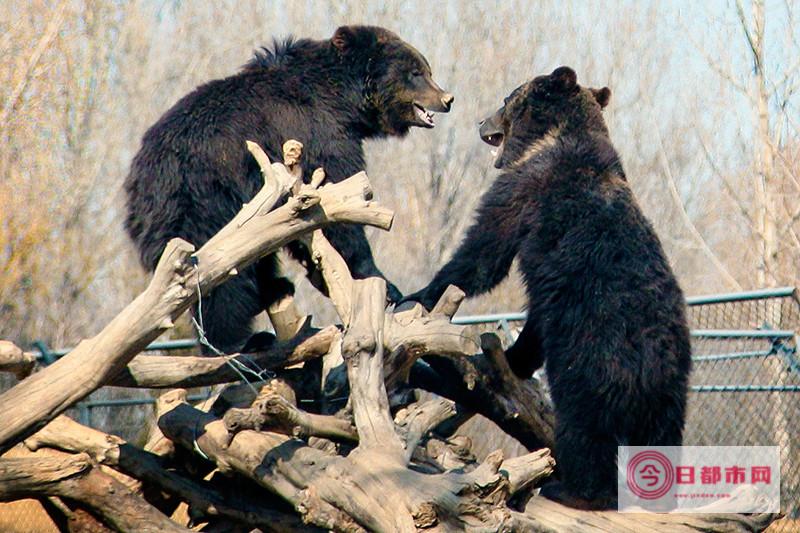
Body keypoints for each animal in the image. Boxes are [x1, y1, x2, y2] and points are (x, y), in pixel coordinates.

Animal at [122, 27, 454, 356]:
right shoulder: (318, 135)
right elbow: (339, 205)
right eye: (415, 72)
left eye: (426, 69)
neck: (344, 104)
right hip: (207, 201)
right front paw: (383, 282)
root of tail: (142, 178)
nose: (447, 98)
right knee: (220, 279)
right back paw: (236, 341)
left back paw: (275, 289)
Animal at [406, 68, 692, 510]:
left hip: (588, 360)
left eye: (507, 98)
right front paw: (511, 357)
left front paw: (417, 292)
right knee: (661, 439)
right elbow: (533, 321)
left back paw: (573, 490)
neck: (552, 138)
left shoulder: (528, 187)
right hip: (671, 394)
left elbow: (485, 248)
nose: (481, 121)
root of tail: (649, 364)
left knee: (583, 428)